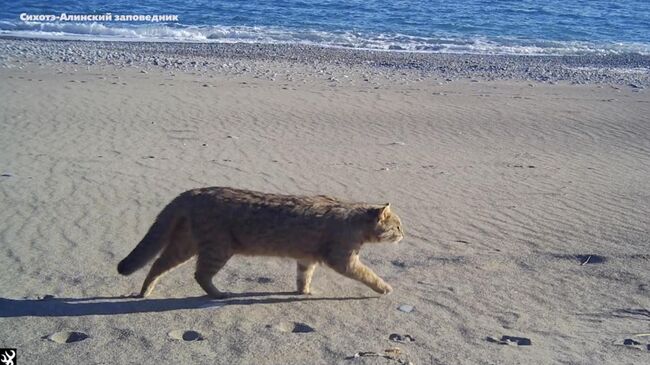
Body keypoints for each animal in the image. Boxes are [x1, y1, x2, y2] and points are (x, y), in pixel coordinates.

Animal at [115, 186, 400, 298]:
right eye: (397, 226)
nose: (404, 234)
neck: (353, 217)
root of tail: (193, 192)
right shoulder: (343, 259)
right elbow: (369, 274)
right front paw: (385, 287)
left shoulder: (306, 258)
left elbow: (303, 276)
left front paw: (304, 291)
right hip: (217, 248)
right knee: (200, 274)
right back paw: (219, 294)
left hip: (185, 244)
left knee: (157, 264)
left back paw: (145, 291)